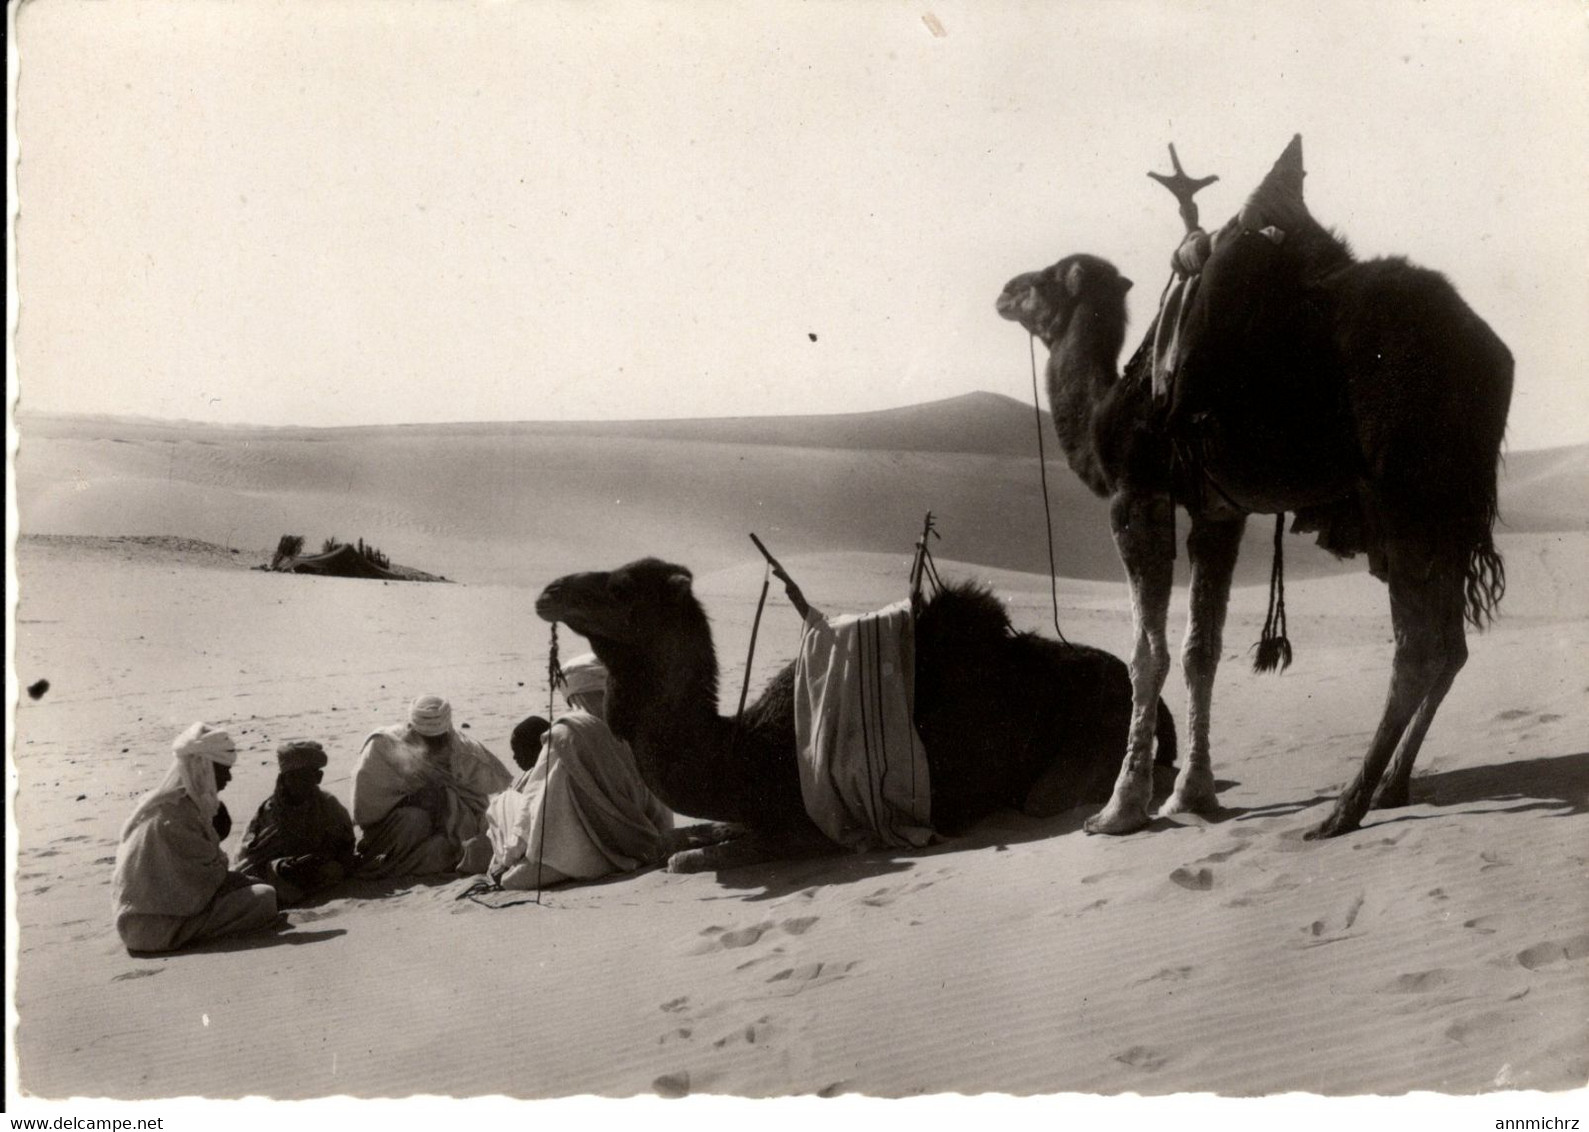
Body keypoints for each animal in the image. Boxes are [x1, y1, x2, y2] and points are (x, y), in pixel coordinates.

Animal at [991, 135, 1512, 839]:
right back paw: (1391, 787)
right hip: (1448, 506)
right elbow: (1200, 650)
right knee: (1451, 645)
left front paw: (1119, 809)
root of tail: (1491, 353)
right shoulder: (1220, 512)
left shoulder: (1136, 494)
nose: (1005, 290)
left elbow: (1145, 655)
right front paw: (1192, 796)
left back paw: (1343, 809)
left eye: (1046, 279)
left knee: (1418, 647)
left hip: (1403, 492)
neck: (1111, 401)